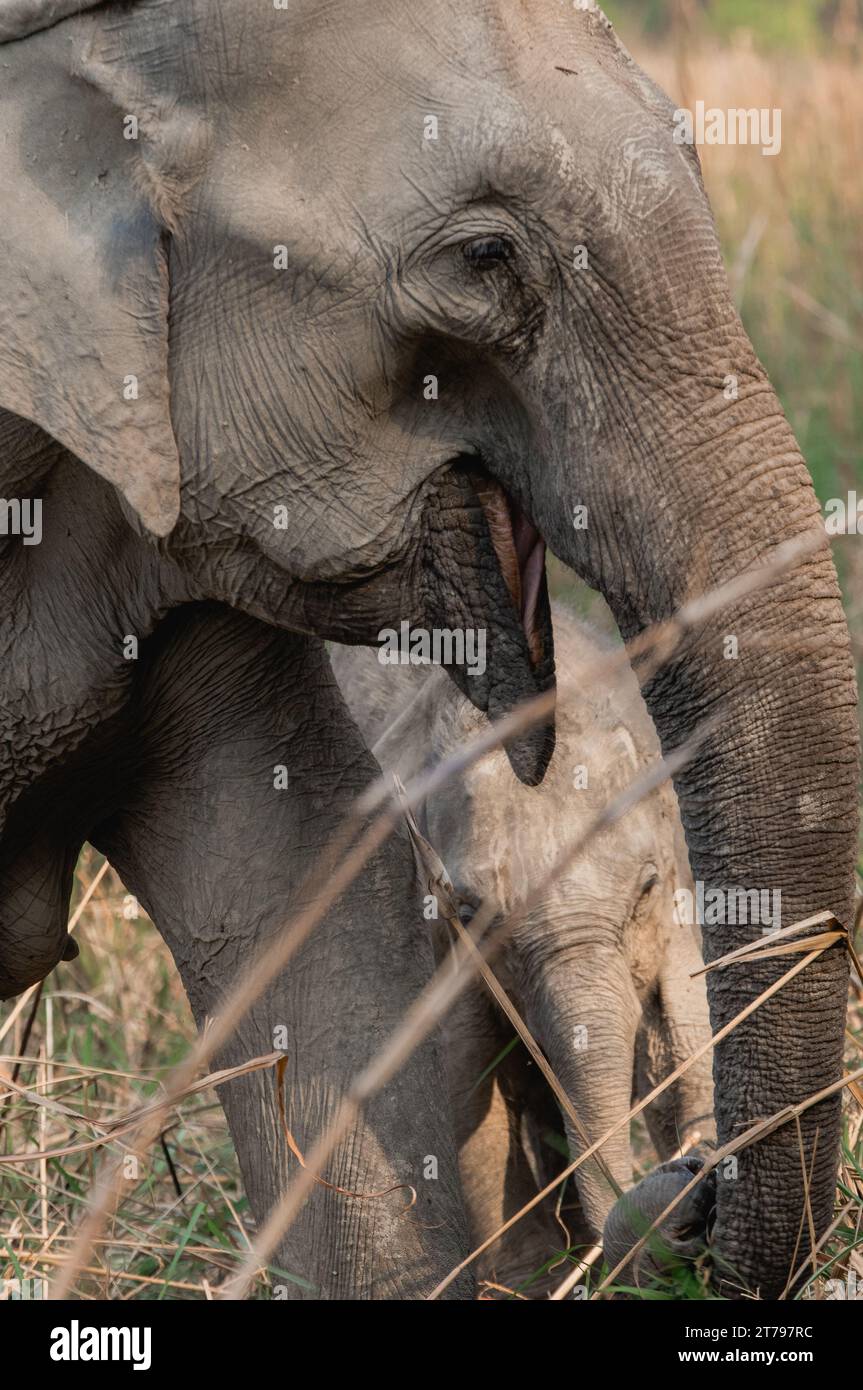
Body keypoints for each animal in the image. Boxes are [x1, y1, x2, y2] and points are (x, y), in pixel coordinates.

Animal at [333, 608, 717, 1289]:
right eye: (470, 914)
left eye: (645, 888)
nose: (687, 1175)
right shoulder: (431, 933)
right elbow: (463, 1079)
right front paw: (528, 1278)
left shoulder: (679, 900)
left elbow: (684, 1045)